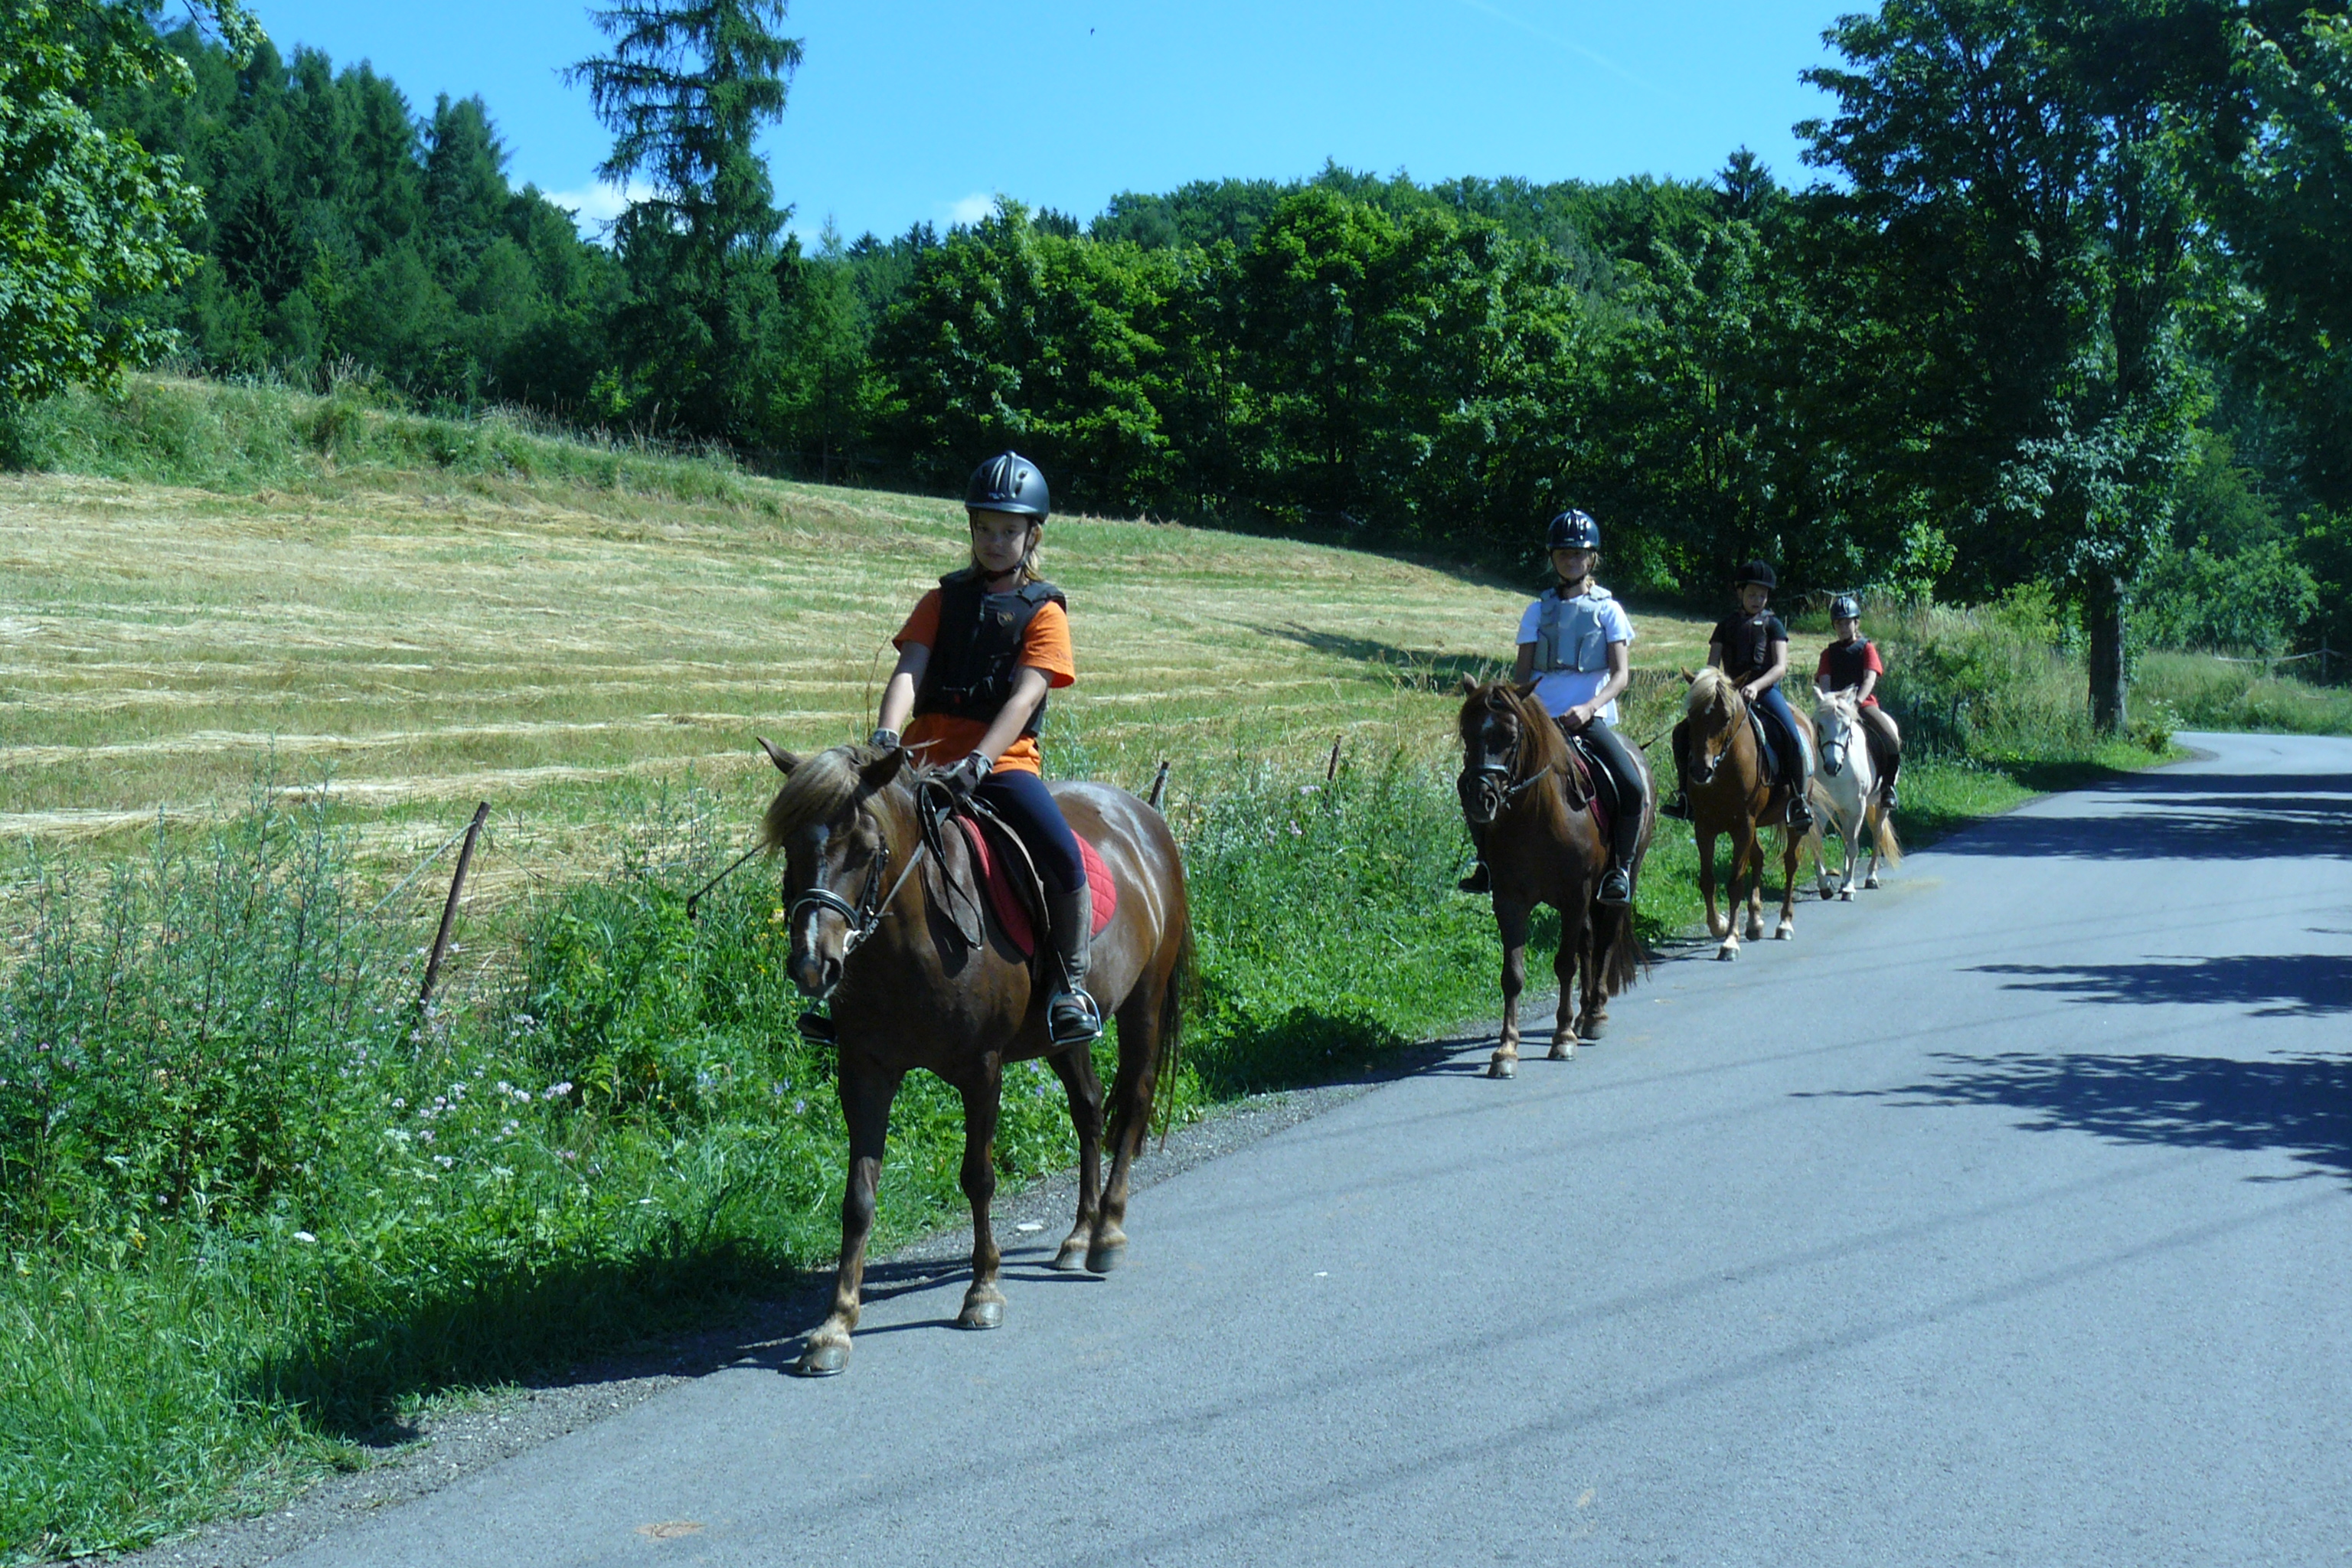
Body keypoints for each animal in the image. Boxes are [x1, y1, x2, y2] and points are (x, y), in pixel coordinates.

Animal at [757, 743, 1185, 1382]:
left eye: (866, 848)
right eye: (790, 845)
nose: (814, 964)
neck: (911, 943)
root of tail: (1145, 814)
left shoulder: (981, 1069)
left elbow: (978, 1178)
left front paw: (983, 1292)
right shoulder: (865, 1073)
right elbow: (858, 1197)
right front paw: (835, 1324)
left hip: (1145, 1005)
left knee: (1131, 1101)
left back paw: (1107, 1232)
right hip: (1065, 1039)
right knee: (1088, 1111)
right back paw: (1078, 1236)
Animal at [1449, 681, 1655, 1086]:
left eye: (1510, 736)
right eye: (1467, 732)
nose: (1479, 797)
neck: (1537, 816)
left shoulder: (1575, 896)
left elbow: (1564, 965)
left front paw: (1563, 1039)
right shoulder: (1510, 901)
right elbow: (1512, 975)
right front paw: (1506, 1051)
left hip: (1616, 884)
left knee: (1604, 941)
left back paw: (1595, 1015)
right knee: (1589, 943)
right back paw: (1585, 1011)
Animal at [1684, 662, 1824, 959]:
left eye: (1726, 717)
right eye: (1691, 716)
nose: (1701, 771)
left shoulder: (1743, 826)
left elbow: (1736, 882)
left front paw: (1729, 941)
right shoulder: (1704, 827)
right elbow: (1707, 880)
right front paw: (1718, 925)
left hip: (1792, 820)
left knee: (1790, 862)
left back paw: (1784, 924)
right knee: (1758, 858)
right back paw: (1755, 922)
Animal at [1806, 691, 1900, 903]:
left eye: (1847, 727)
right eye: (1820, 726)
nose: (1832, 766)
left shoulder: (1858, 807)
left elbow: (1854, 846)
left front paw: (1849, 888)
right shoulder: (1822, 808)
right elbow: (1819, 843)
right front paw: (1826, 886)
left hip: (1879, 806)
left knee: (1876, 834)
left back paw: (1871, 878)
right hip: (1842, 809)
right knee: (1848, 836)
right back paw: (1842, 882)